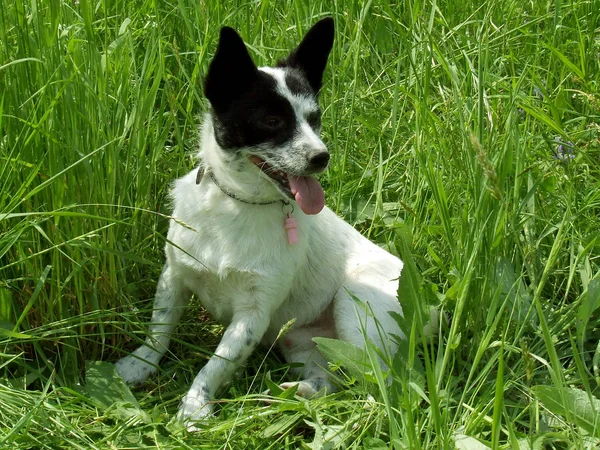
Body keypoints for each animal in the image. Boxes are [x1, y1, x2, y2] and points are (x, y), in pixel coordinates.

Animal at [116, 17, 408, 430]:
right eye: (271, 121)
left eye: (315, 120)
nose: (322, 157)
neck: (239, 204)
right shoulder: (174, 276)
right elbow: (159, 330)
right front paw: (138, 365)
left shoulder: (252, 313)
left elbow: (215, 364)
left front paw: (194, 406)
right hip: (301, 342)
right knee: (331, 379)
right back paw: (300, 392)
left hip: (356, 310)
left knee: (380, 382)